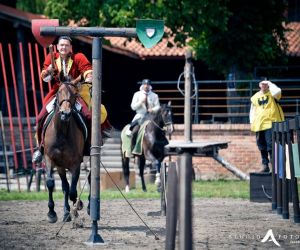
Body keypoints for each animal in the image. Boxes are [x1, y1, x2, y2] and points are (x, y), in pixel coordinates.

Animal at [43, 79, 86, 223]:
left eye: (75, 94)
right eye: (58, 92)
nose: (65, 114)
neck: (61, 132)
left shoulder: (76, 163)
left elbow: (73, 191)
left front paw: (78, 205)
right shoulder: (50, 158)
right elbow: (51, 183)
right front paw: (51, 213)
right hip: (60, 166)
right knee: (65, 186)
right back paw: (66, 212)